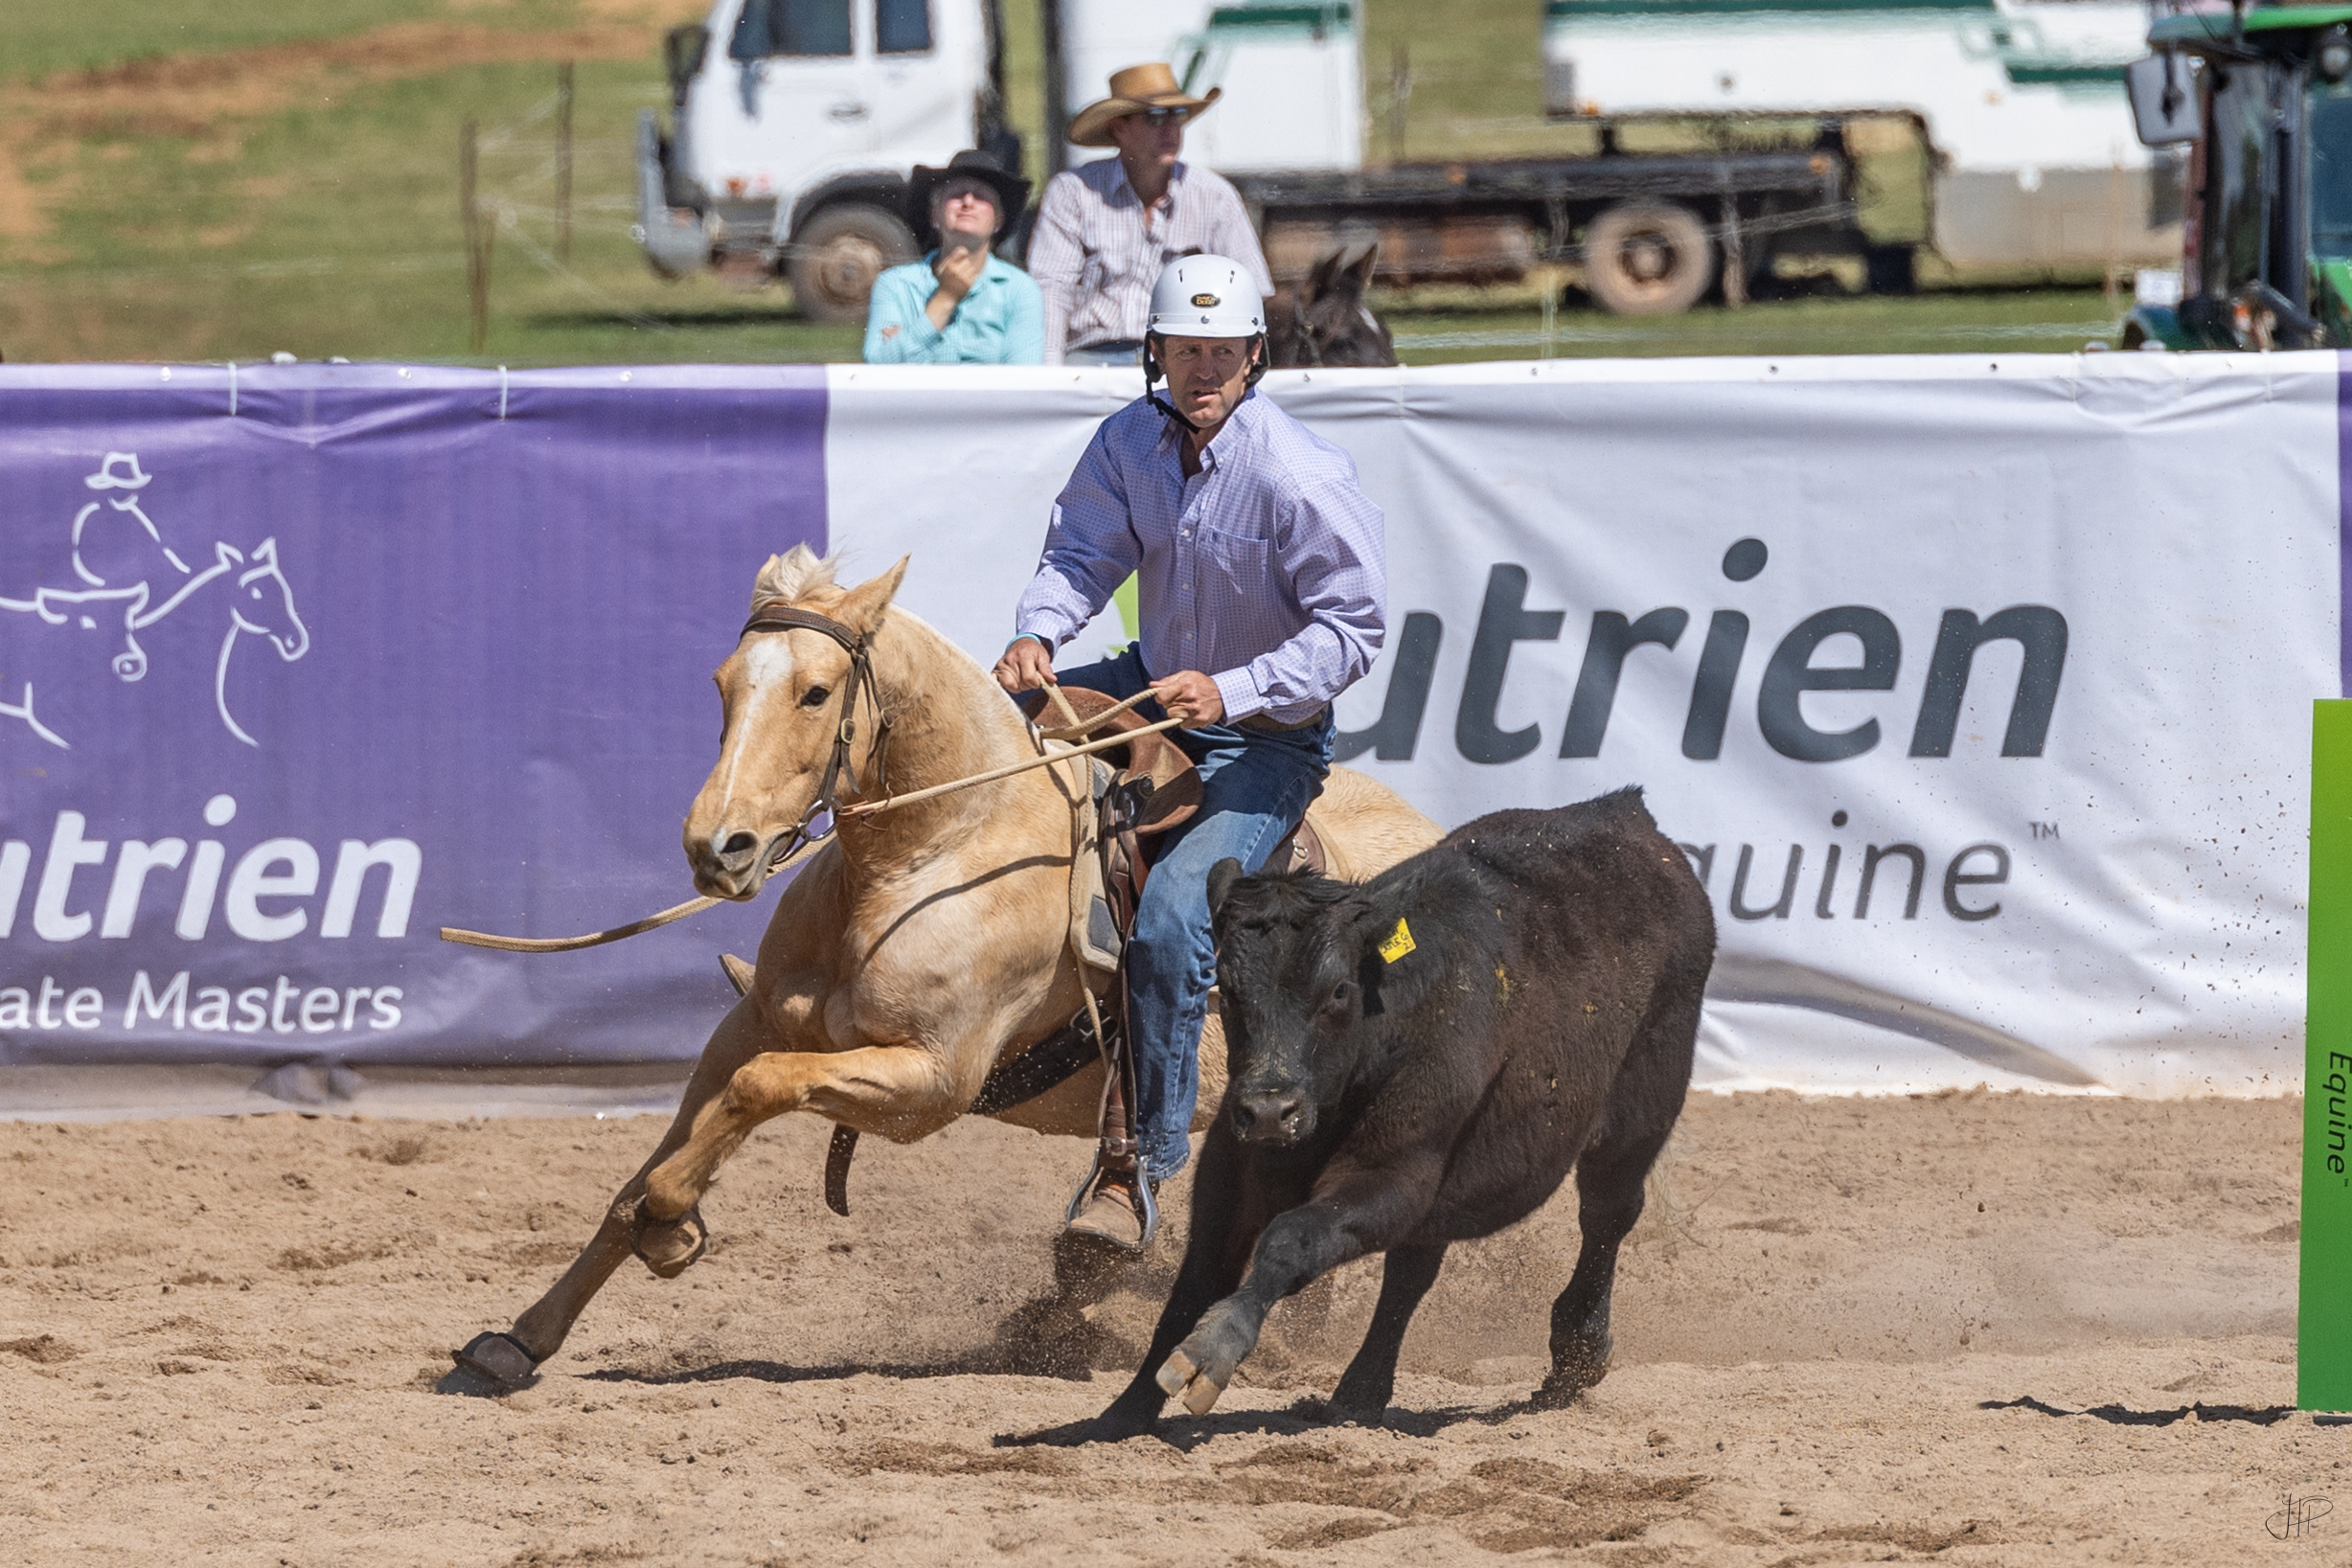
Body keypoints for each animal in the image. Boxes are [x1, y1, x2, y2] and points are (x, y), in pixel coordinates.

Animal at [451, 546, 1446, 1386]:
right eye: (723, 684)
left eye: (815, 692)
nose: (716, 847)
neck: (941, 846)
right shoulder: (752, 1020)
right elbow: (664, 1150)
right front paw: (523, 1337)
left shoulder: (929, 1082)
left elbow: (758, 1088)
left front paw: (671, 1223)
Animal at [1084, 788, 1714, 1438]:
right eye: (1228, 990)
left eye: (1337, 990)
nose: (1269, 1112)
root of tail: (1629, 816)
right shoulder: (1231, 1169)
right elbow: (1194, 1285)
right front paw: (1123, 1411)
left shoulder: (1393, 1172)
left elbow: (1290, 1240)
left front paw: (1214, 1349)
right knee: (1416, 1267)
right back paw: (1361, 1392)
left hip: (1640, 1112)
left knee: (1608, 1216)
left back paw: (1578, 1354)